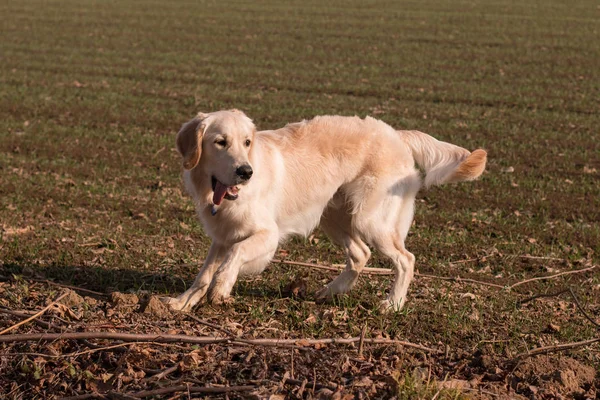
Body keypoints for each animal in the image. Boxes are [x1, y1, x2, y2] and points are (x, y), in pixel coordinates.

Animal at [163, 109, 488, 312]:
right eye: (220, 142)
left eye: (246, 142)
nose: (246, 172)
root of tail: (396, 133)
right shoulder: (221, 236)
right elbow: (204, 272)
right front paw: (184, 301)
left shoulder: (267, 235)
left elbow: (235, 254)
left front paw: (222, 288)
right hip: (333, 216)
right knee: (360, 254)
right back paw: (330, 292)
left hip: (371, 220)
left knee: (406, 259)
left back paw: (393, 304)